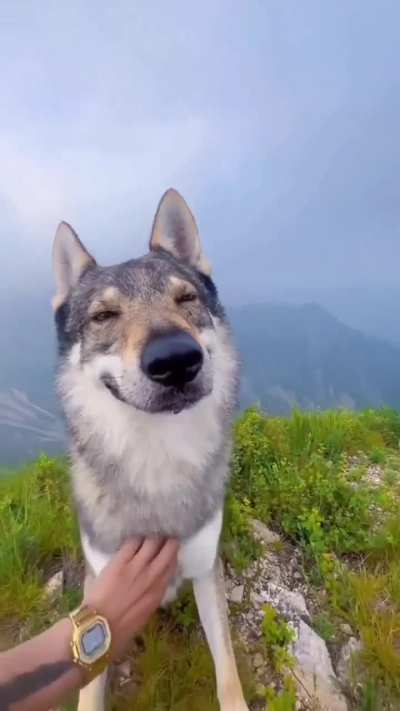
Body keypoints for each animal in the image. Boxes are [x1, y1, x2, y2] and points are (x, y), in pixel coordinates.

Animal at [52, 188, 249, 711]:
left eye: (186, 299)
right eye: (104, 316)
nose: (176, 360)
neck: (158, 462)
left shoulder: (205, 571)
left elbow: (229, 677)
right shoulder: (104, 589)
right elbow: (90, 684)